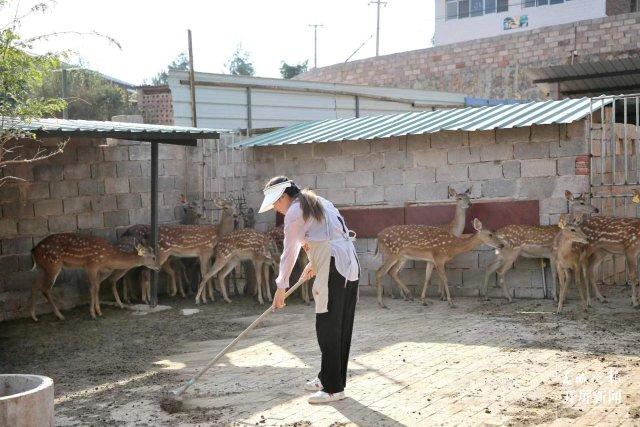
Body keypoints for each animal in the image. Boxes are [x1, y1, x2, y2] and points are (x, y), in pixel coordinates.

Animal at [30, 234, 159, 320]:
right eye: (153, 257)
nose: (158, 268)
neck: (108, 256)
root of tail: (33, 250)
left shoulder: (97, 268)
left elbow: (97, 287)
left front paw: (99, 311)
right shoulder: (92, 264)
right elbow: (93, 288)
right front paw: (93, 314)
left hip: (42, 267)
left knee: (35, 285)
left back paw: (34, 316)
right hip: (53, 263)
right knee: (45, 288)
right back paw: (60, 315)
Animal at [376, 221, 504, 308]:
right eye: (490, 234)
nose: (502, 245)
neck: (453, 246)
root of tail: (378, 237)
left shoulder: (431, 260)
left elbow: (427, 278)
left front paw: (423, 300)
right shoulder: (439, 258)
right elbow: (445, 279)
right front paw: (450, 302)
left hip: (402, 257)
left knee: (392, 271)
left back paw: (409, 295)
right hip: (391, 253)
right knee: (380, 272)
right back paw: (382, 303)